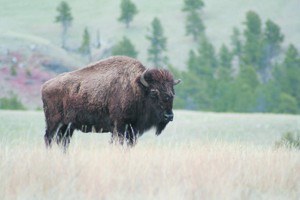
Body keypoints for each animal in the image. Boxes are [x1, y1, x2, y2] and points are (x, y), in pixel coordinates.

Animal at [40, 55, 180, 148]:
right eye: (154, 92)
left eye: (173, 93)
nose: (169, 116)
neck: (136, 88)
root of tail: (45, 86)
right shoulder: (119, 126)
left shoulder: (132, 130)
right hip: (53, 123)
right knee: (49, 138)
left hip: (67, 126)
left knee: (62, 141)